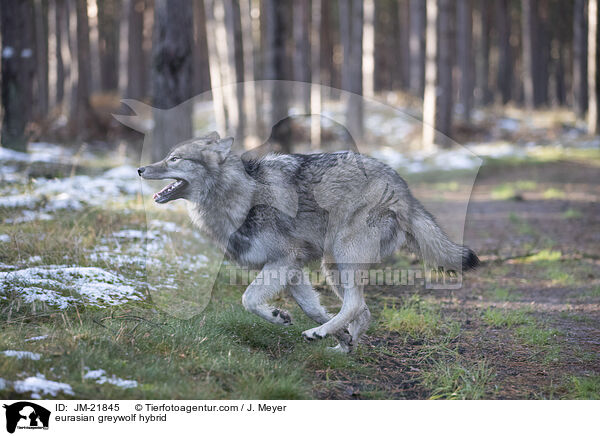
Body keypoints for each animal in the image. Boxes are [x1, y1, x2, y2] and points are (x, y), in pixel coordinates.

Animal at [138, 131, 480, 352]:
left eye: (174, 159)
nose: (140, 169)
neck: (240, 195)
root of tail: (402, 187)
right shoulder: (291, 269)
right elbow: (312, 307)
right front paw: (337, 335)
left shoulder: (284, 260)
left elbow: (248, 299)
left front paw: (279, 317)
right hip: (332, 267)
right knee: (363, 310)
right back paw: (342, 349)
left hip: (344, 255)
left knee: (356, 303)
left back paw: (322, 335)